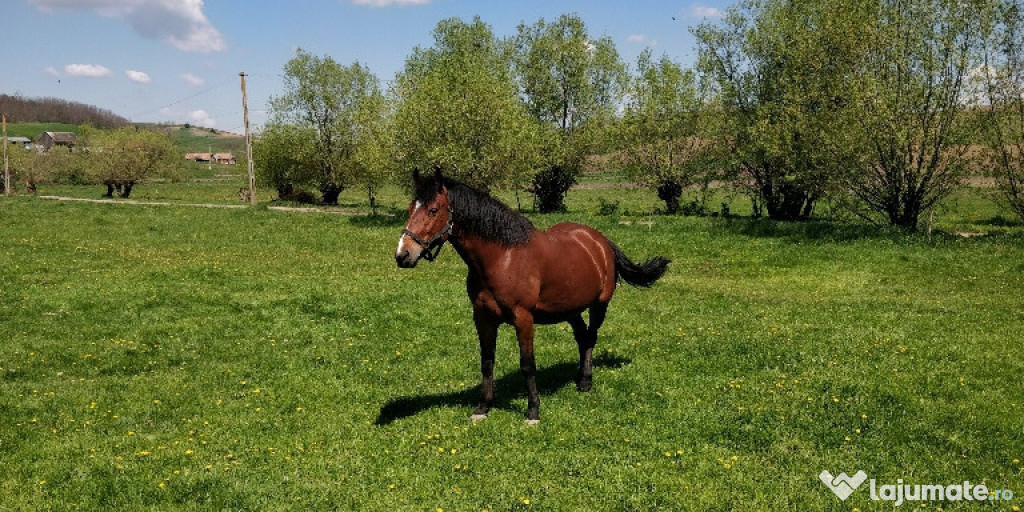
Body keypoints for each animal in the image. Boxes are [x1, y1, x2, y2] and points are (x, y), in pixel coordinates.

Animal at [393, 168, 671, 423]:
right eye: (410, 208)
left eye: (433, 210)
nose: (403, 255)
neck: (501, 258)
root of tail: (599, 241)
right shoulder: (482, 318)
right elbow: (487, 361)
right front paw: (483, 408)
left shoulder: (523, 318)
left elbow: (528, 364)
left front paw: (533, 411)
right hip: (570, 309)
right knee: (582, 338)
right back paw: (579, 379)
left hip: (599, 305)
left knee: (591, 338)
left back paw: (586, 383)